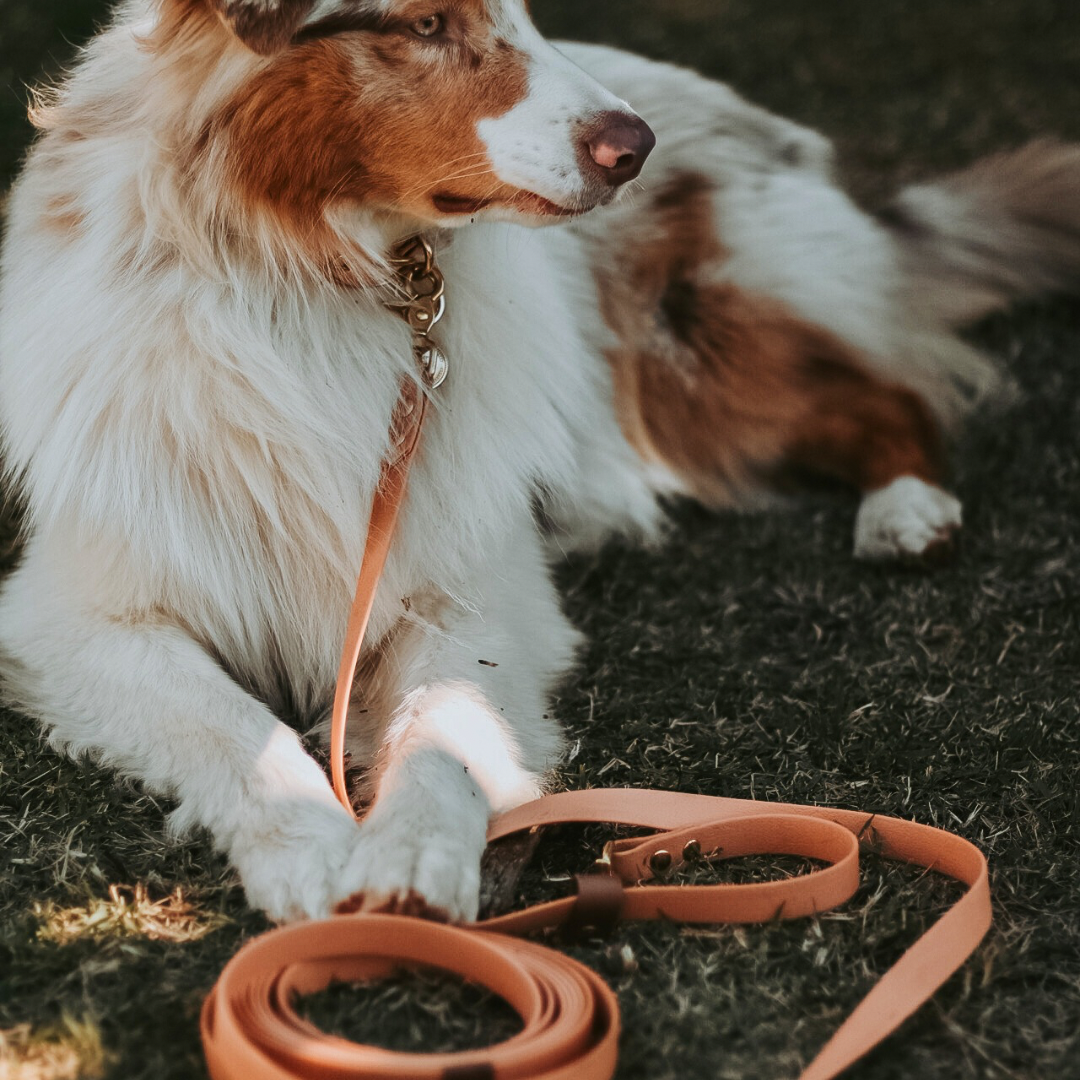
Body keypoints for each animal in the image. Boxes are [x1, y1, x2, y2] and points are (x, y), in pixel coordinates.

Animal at [2, 0, 1080, 924]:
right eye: (424, 25)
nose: (636, 146)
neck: (309, 283)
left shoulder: (469, 590)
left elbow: (444, 720)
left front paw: (418, 853)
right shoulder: (81, 619)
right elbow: (230, 725)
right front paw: (311, 844)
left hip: (697, 348)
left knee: (889, 394)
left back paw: (906, 511)